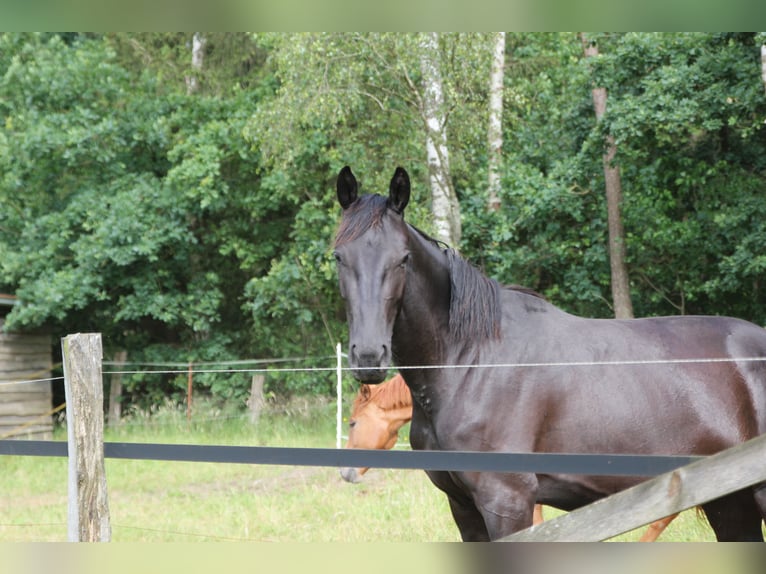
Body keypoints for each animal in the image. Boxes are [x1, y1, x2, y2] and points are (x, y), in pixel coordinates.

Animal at [334, 164, 766, 544]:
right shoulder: (463, 506)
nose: (369, 356)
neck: (469, 362)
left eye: (403, 258)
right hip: (732, 505)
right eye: (339, 257)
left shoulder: (508, 502)